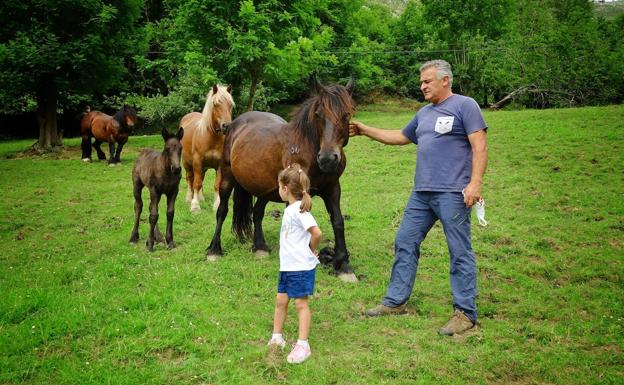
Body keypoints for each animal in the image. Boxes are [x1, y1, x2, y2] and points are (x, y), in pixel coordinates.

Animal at [179, 83, 235, 213]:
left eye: (230, 105)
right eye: (215, 104)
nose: (226, 126)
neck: (212, 137)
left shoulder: (219, 164)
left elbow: (216, 184)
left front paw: (217, 204)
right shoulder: (197, 161)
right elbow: (196, 183)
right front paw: (195, 206)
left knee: (201, 179)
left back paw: (201, 197)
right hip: (187, 163)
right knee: (190, 179)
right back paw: (189, 198)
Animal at [207, 79, 358, 282]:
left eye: (346, 114)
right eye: (318, 114)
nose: (327, 158)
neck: (307, 149)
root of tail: (235, 124)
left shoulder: (332, 189)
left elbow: (338, 221)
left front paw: (343, 265)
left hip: (264, 187)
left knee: (257, 211)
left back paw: (260, 247)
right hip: (227, 176)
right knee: (222, 210)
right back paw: (214, 250)